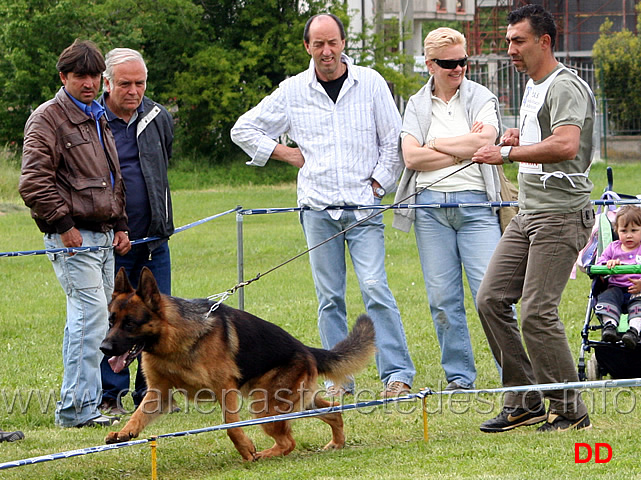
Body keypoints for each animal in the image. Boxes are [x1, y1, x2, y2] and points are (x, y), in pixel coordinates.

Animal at [100, 268, 376, 460]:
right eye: (111, 321)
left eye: (130, 324)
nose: (104, 348)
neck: (173, 340)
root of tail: (306, 350)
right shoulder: (159, 393)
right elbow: (138, 415)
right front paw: (125, 432)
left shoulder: (226, 388)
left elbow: (231, 426)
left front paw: (246, 449)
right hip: (291, 402)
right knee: (334, 411)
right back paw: (337, 442)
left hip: (264, 406)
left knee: (289, 442)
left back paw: (263, 455)